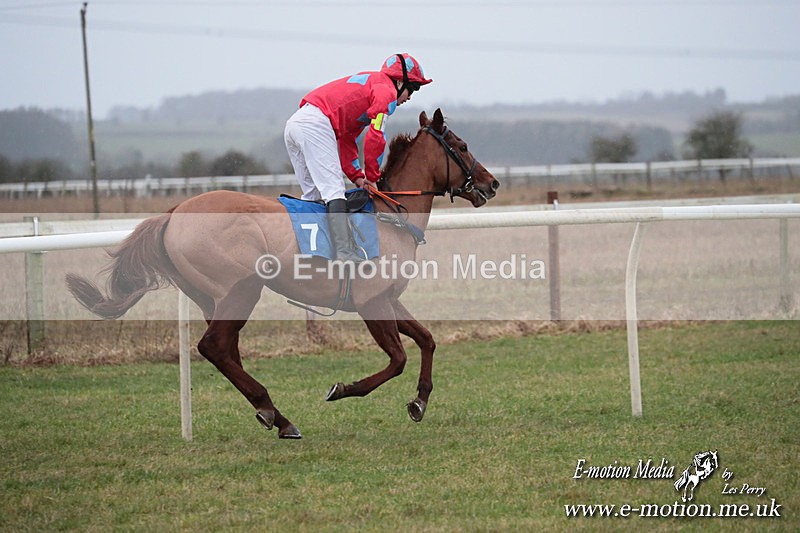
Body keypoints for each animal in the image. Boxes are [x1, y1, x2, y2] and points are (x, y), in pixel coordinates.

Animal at [66, 108, 500, 439]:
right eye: (462, 146)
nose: (492, 183)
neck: (391, 215)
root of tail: (172, 213)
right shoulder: (371, 302)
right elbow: (397, 359)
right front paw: (343, 389)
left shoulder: (389, 299)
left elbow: (427, 340)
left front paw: (420, 401)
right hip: (242, 289)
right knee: (214, 347)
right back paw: (277, 415)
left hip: (213, 298)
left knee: (225, 350)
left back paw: (273, 414)